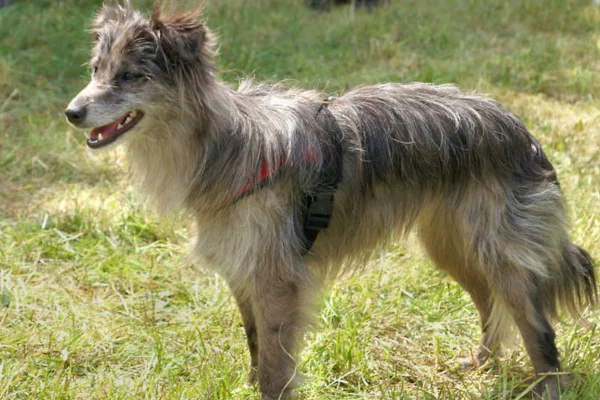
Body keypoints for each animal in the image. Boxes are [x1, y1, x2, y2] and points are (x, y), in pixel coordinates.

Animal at [65, 3, 596, 400]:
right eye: (95, 70)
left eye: (130, 76)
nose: (72, 112)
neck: (222, 144)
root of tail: (519, 128)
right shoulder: (244, 271)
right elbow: (255, 342)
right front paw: (250, 385)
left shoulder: (276, 277)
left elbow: (275, 360)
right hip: (451, 245)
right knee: (491, 306)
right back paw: (482, 363)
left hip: (498, 252)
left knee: (536, 326)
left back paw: (549, 385)